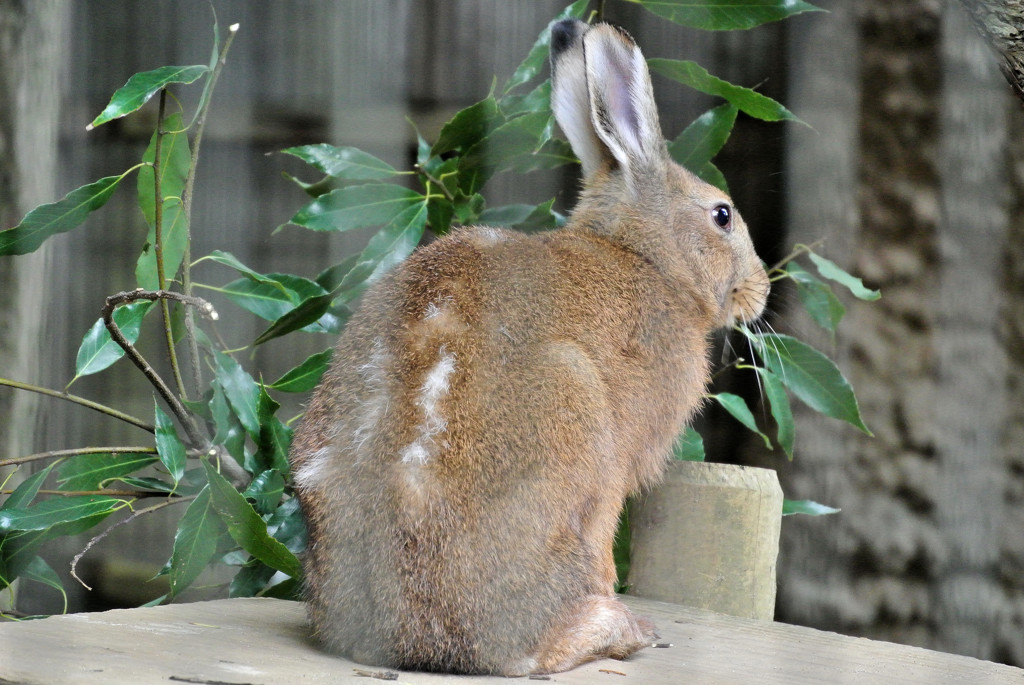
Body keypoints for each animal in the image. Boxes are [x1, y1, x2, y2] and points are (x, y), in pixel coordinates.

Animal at [288, 18, 770, 675]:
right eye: (722, 216)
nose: (762, 288)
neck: (644, 258)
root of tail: (415, 637)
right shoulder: (614, 471)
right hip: (572, 405)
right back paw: (622, 628)